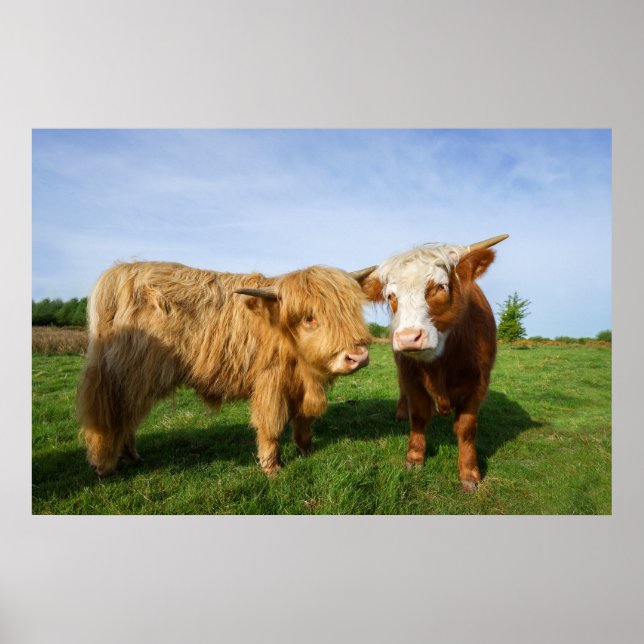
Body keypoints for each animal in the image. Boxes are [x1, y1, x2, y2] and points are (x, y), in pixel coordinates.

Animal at [77, 261, 372, 477]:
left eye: (350, 311)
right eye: (309, 318)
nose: (357, 357)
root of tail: (122, 273)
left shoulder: (302, 385)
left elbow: (303, 420)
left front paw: (306, 450)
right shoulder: (271, 381)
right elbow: (271, 423)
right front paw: (271, 467)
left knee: (127, 418)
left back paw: (131, 457)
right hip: (127, 377)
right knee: (113, 416)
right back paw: (105, 465)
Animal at [361, 235, 509, 492]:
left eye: (440, 287)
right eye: (391, 296)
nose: (408, 337)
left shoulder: (479, 384)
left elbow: (467, 428)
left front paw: (469, 473)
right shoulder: (411, 377)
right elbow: (419, 416)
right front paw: (414, 458)